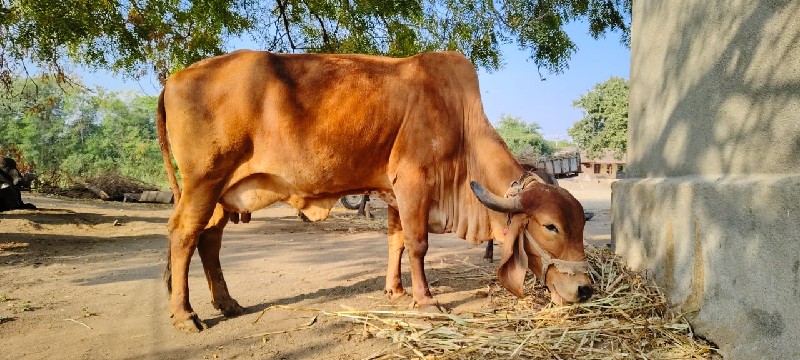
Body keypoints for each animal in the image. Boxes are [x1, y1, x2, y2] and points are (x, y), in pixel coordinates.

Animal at [158, 50, 592, 332]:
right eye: (551, 227)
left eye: (582, 226)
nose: (585, 289)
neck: (460, 121)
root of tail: (174, 79)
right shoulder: (414, 182)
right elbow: (417, 244)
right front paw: (425, 301)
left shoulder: (394, 195)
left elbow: (395, 241)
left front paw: (395, 290)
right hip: (204, 182)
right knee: (183, 236)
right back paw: (184, 315)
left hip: (221, 193)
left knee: (209, 241)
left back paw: (227, 303)